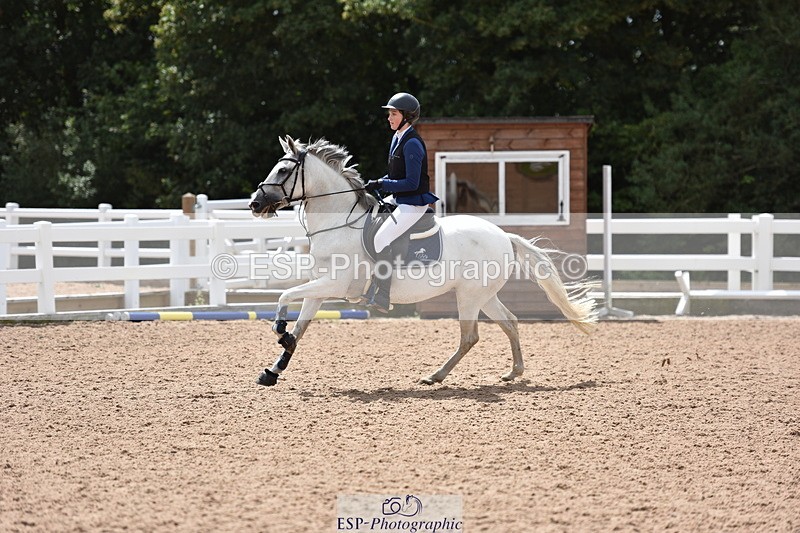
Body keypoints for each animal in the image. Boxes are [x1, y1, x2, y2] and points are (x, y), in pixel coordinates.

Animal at [248, 136, 598, 387]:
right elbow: (301, 325)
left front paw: (280, 329)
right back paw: (514, 372)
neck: (339, 223)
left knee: (470, 336)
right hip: (483, 295)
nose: (254, 204)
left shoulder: (335, 284)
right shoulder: (320, 286)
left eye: (283, 171)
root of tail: (502, 235)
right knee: (509, 322)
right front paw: (273, 369)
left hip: (469, 295)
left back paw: (435, 376)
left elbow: (284, 296)